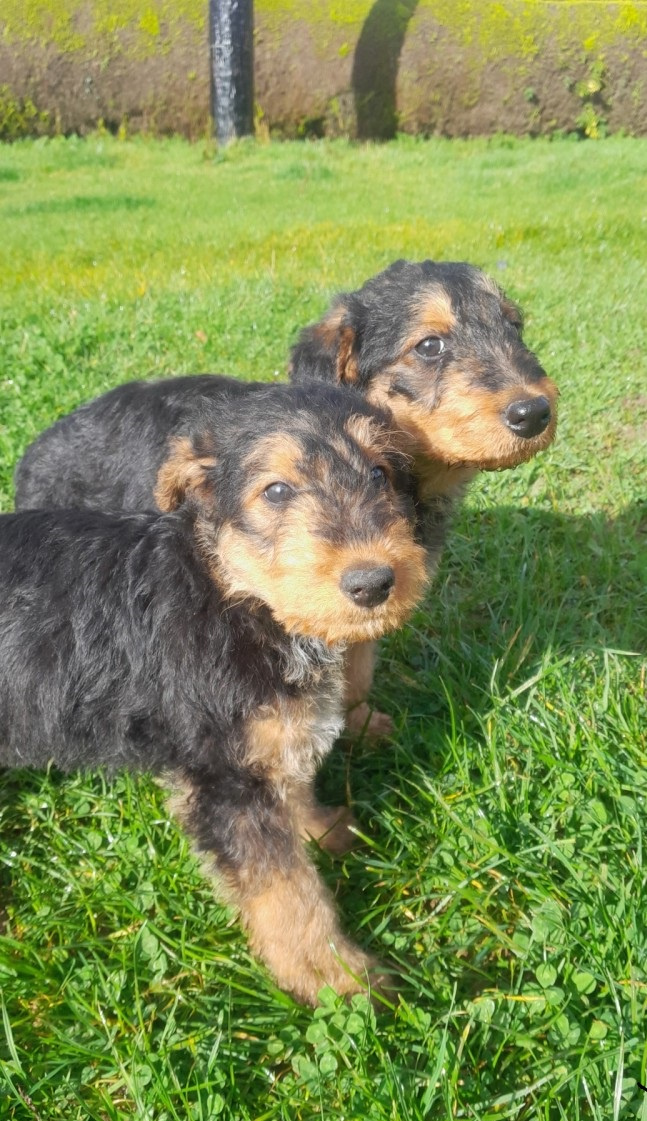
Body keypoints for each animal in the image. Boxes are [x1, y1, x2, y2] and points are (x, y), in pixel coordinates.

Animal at [1, 385, 428, 1008]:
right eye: (276, 490)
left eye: (380, 473)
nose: (373, 583)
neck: (235, 595)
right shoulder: (225, 782)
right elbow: (286, 893)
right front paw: (337, 980)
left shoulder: (266, 745)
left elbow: (293, 794)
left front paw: (322, 830)